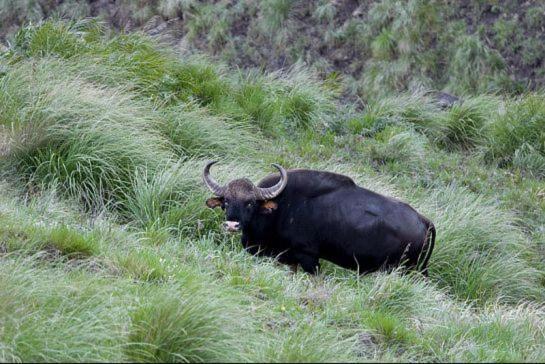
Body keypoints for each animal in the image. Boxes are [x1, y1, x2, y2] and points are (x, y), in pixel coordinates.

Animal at [202, 163, 436, 276]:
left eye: (250, 203)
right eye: (225, 202)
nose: (232, 224)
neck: (281, 208)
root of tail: (424, 220)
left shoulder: (309, 258)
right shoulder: (291, 260)